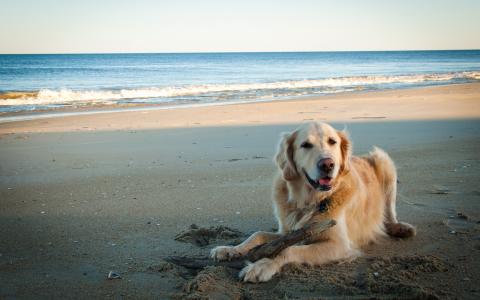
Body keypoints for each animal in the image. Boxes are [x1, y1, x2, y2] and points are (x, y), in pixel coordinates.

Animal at [210, 121, 416, 282]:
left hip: (384, 161)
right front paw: (230, 249)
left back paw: (400, 228)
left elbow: (289, 250)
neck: (310, 200)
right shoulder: (287, 232)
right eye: (305, 145)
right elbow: (257, 235)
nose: (327, 164)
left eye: (332, 141)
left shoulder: (338, 245)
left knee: (390, 212)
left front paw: (262, 265)